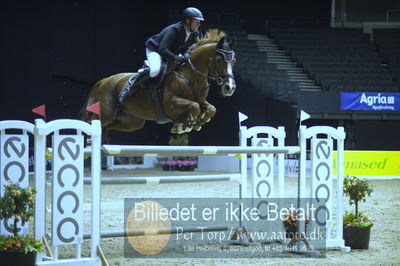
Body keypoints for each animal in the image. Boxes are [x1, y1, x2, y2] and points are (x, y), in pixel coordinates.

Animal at [82, 29, 236, 142]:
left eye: (234, 61)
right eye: (219, 59)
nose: (230, 87)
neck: (191, 76)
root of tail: (103, 81)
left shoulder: (201, 100)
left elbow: (210, 109)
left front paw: (196, 123)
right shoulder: (170, 104)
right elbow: (194, 106)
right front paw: (184, 126)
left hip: (132, 122)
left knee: (107, 127)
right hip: (106, 113)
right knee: (91, 121)